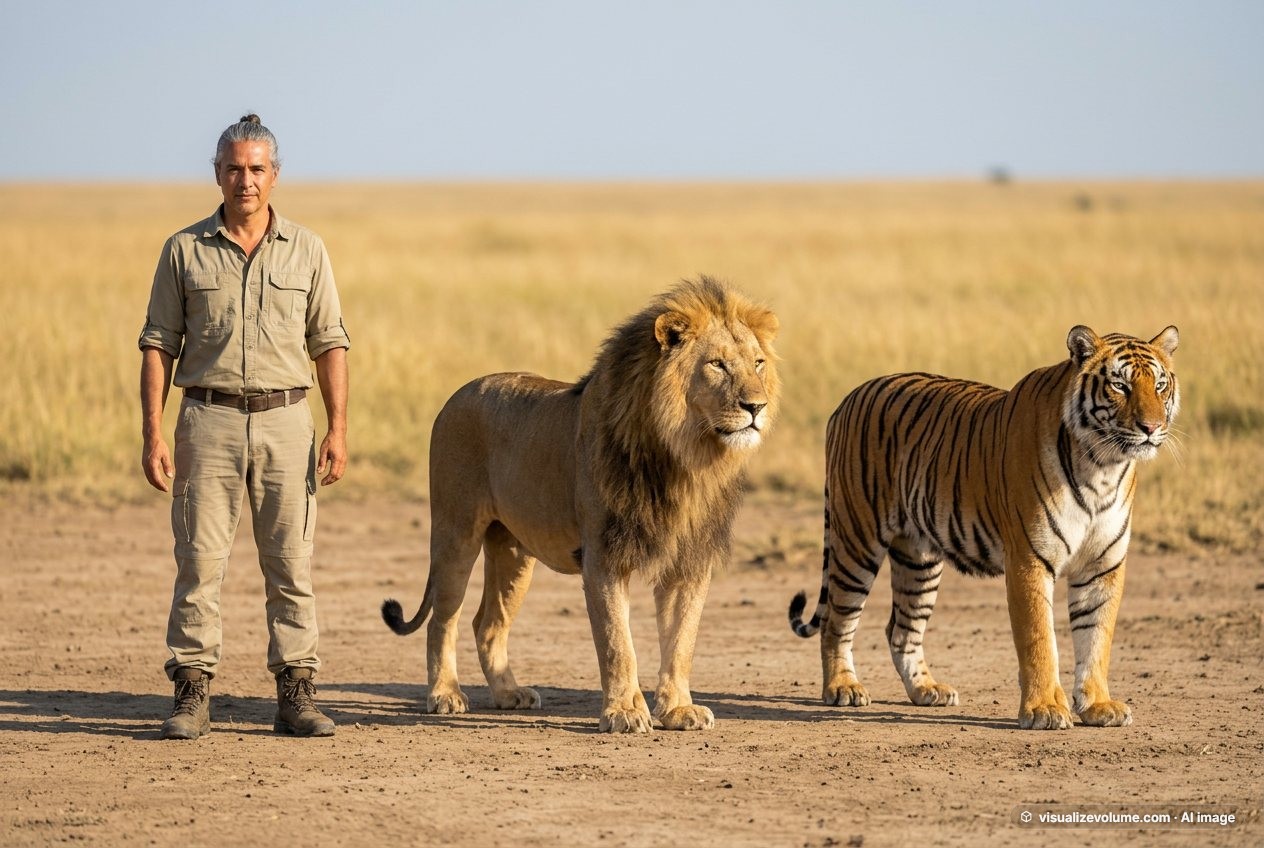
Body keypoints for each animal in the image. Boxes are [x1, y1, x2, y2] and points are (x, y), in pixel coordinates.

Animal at [382, 276, 779, 733]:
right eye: (717, 364)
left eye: (758, 363)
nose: (756, 407)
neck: (686, 458)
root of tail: (456, 395)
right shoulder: (603, 555)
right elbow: (617, 642)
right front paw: (625, 712)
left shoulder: (690, 560)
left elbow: (682, 640)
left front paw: (679, 710)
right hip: (456, 533)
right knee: (442, 619)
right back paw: (445, 694)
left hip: (513, 552)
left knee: (488, 623)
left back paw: (508, 694)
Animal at [788, 325, 1180, 730]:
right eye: (1120, 385)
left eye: (1160, 385)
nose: (1151, 428)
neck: (1103, 466)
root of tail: (848, 398)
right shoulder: (1029, 559)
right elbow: (1039, 639)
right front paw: (1044, 710)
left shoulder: (1102, 565)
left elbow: (1096, 638)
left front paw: (1098, 706)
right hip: (857, 542)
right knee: (836, 621)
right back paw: (843, 688)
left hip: (918, 559)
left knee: (901, 630)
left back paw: (927, 690)